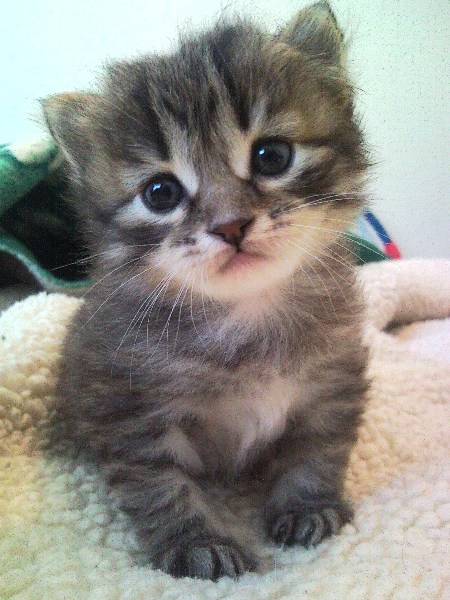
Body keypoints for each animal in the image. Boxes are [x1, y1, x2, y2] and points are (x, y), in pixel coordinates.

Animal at [44, 1, 370, 580]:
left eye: (271, 156)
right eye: (160, 192)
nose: (231, 225)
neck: (246, 315)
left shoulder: (333, 376)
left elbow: (320, 447)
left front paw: (308, 506)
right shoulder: (128, 409)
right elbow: (159, 485)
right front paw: (198, 543)